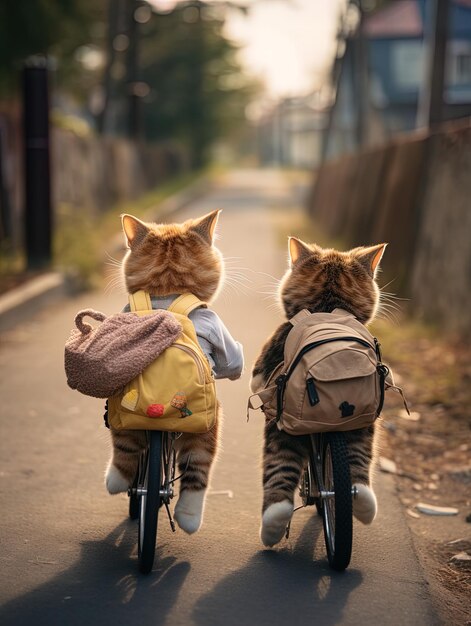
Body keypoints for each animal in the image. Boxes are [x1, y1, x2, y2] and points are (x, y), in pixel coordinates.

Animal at [251, 236, 388, 544]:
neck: (327, 305)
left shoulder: (265, 365)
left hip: (279, 425)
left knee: (279, 469)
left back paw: (273, 526)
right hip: (362, 423)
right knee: (358, 464)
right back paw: (363, 503)